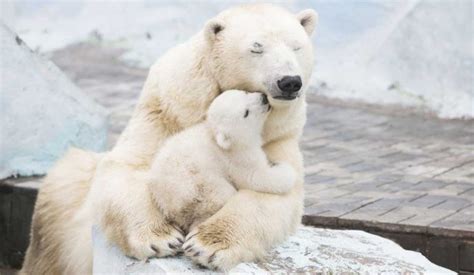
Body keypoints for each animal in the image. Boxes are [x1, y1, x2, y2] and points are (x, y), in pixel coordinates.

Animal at [22, 3, 318, 274]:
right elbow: (130, 167)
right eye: (256, 48)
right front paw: (161, 238)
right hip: (61, 212)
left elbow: (274, 192)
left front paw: (206, 245)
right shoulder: (166, 111)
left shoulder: (277, 135)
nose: (289, 81)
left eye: (296, 47)